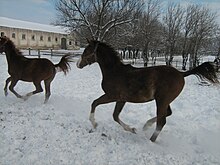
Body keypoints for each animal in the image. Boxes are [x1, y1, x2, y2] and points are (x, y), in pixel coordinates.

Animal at [76, 39, 219, 142]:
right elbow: (115, 116)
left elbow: (95, 103)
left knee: (162, 121)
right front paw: (132, 129)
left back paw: (151, 140)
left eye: (87, 51)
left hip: (161, 100)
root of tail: (181, 73)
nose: (78, 64)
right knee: (167, 114)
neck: (114, 72)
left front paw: (94, 124)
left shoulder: (112, 96)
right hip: (164, 101)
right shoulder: (121, 99)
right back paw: (146, 126)